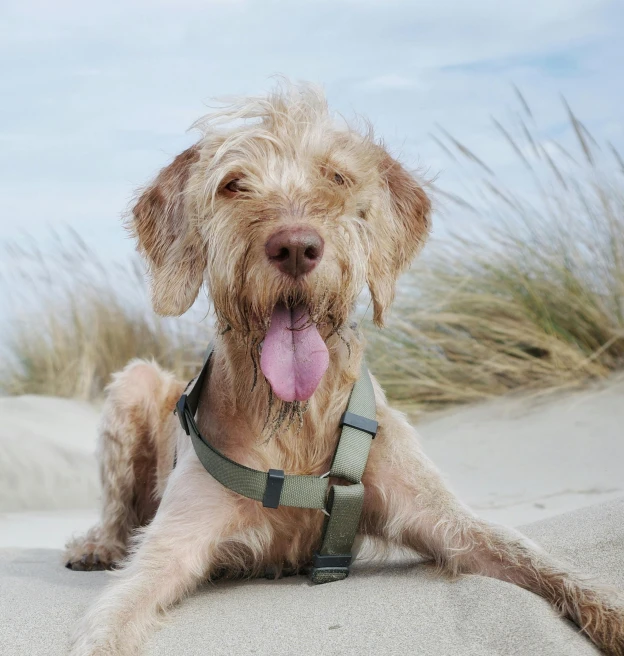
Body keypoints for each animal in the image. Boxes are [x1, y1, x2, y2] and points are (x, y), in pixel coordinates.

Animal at [63, 84, 624, 652]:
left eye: (336, 177)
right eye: (233, 184)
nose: (295, 247)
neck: (294, 423)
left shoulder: (440, 517)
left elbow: (538, 560)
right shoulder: (173, 542)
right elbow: (115, 610)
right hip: (131, 384)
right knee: (117, 514)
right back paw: (95, 545)